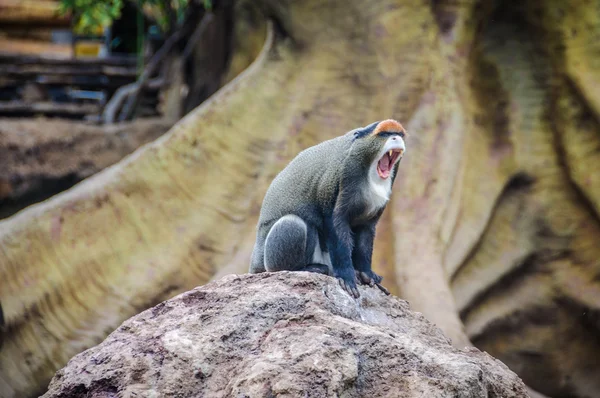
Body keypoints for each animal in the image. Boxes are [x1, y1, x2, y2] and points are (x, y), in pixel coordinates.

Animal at [248, 119, 408, 296]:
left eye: (399, 134)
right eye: (383, 134)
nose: (395, 138)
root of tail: (255, 263)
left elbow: (365, 230)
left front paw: (367, 273)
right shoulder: (342, 175)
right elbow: (335, 222)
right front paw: (346, 275)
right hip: (271, 261)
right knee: (294, 223)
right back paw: (307, 268)